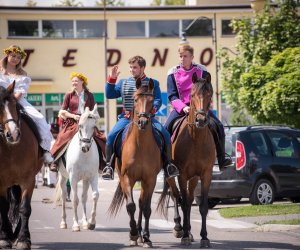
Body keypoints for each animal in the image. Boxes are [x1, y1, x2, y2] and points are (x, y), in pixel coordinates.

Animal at [0, 83, 43, 249]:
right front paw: (4, 237)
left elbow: (25, 208)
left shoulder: (28, 180)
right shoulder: (1, 182)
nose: (13, 134)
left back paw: (17, 234)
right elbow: (3, 207)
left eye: (14, 105)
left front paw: (24, 239)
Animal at [54, 104, 99, 232]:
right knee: (64, 196)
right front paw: (75, 224)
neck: (84, 155)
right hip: (63, 177)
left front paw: (91, 222)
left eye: (94, 127)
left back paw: (85, 222)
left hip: (85, 180)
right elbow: (74, 200)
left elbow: (95, 196)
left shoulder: (92, 176)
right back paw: (63, 222)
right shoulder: (73, 178)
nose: (85, 147)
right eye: (80, 126)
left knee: (84, 197)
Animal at [108, 78, 164, 248]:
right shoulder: (127, 178)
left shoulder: (150, 179)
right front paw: (132, 234)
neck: (141, 145)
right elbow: (130, 206)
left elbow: (146, 208)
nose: (142, 122)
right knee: (132, 203)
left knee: (141, 203)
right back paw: (135, 234)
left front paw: (146, 237)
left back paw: (140, 235)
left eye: (152, 101)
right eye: (135, 99)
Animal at [157, 72, 216, 248]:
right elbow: (182, 202)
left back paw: (188, 231)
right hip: (171, 176)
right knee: (176, 196)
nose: (201, 119)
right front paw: (183, 235)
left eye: (210, 94)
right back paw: (179, 228)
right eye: (192, 94)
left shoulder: (206, 175)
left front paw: (204, 237)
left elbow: (202, 206)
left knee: (188, 200)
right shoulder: (182, 175)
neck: (196, 139)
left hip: (194, 178)